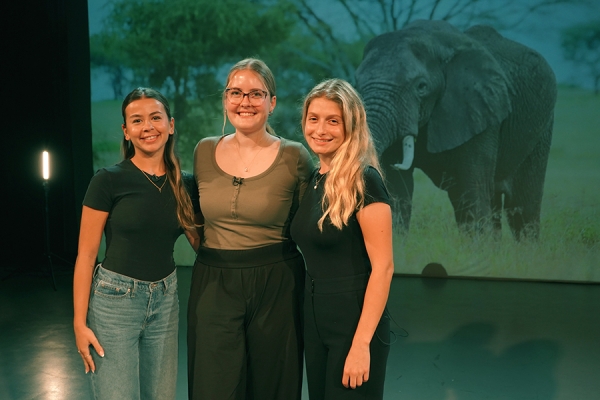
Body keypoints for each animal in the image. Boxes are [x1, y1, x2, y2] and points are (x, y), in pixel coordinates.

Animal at [354, 19, 556, 241]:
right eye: (357, 82)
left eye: (421, 87)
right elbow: (396, 188)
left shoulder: (477, 111)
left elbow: (471, 189)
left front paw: (478, 249)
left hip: (541, 126)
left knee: (522, 205)